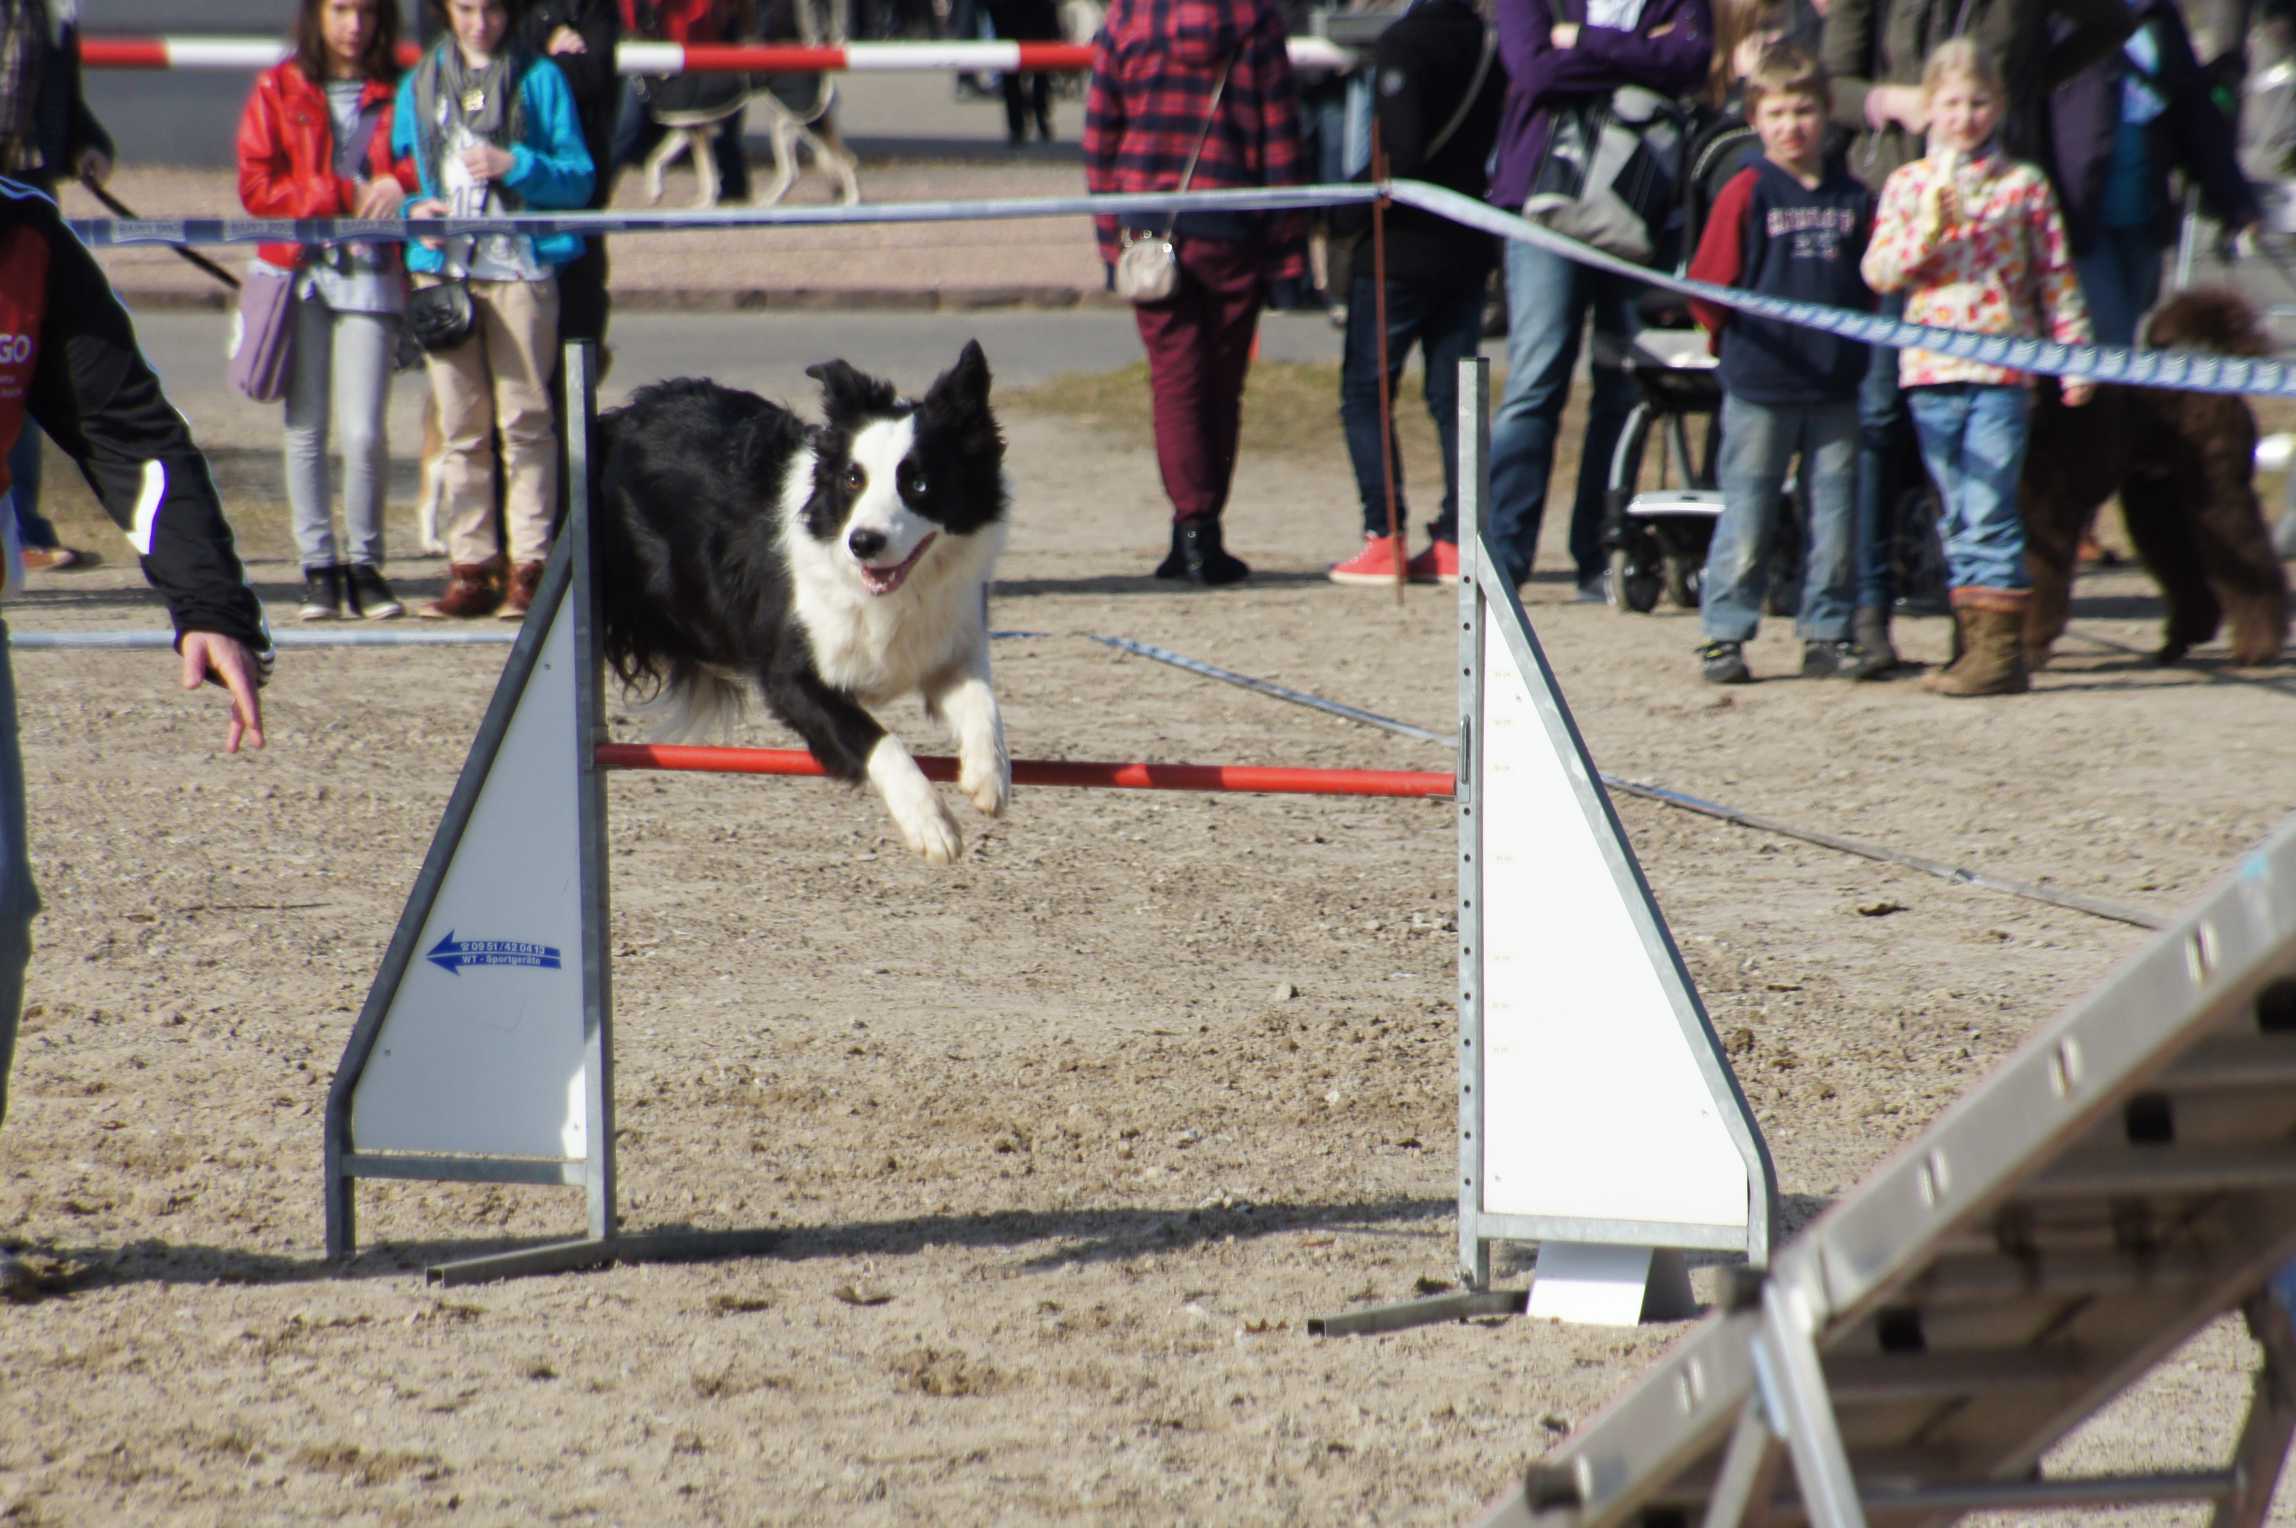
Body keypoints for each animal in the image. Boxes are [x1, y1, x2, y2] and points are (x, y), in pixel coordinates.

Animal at [2020, 285, 2286, 665]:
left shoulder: (2045, 514)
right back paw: (2179, 642)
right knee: (2184, 565)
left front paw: (2031, 647)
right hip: (2158, 498)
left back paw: (2257, 648)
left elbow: (2041, 581)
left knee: (2252, 563)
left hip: (2217, 492)